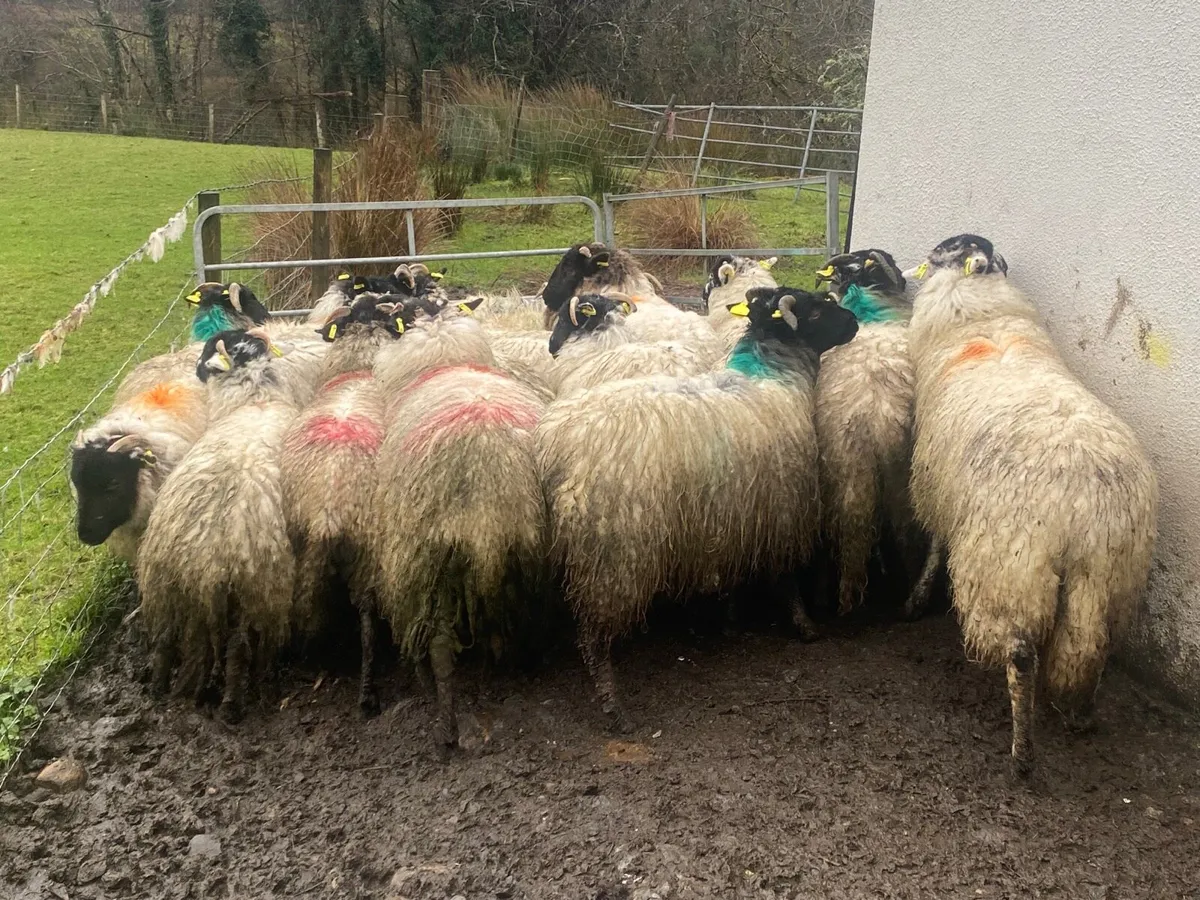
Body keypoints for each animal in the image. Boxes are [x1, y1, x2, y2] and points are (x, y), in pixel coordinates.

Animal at [137, 329, 301, 721]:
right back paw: (231, 706)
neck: (254, 401)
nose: (196, 370)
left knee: (164, 640)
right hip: (251, 588)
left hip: (165, 581)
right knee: (239, 648)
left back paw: (159, 688)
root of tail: (205, 556)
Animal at [279, 293, 417, 717]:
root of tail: (330, 510)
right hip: (367, 555)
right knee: (366, 619)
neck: (360, 369)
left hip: (305, 550)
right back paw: (367, 690)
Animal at [371, 297, 548, 755]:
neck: (445, 358)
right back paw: (495, 679)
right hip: (518, 557)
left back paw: (444, 723)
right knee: (502, 629)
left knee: (436, 645)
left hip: (423, 559)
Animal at [537, 286, 858, 728]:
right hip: (612, 551)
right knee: (593, 632)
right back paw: (613, 703)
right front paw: (805, 625)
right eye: (814, 311)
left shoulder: (736, 512)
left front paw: (730, 620)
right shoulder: (781, 508)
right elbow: (787, 577)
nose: (855, 322)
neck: (772, 375)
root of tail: (557, 447)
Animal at [902, 233, 1158, 777]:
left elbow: (935, 543)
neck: (983, 320)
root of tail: (1083, 507)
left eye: (944, 249)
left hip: (1009, 568)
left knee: (1020, 655)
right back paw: (1080, 716)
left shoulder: (936, 485)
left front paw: (916, 599)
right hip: (1109, 574)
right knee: (1093, 643)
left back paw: (1023, 754)